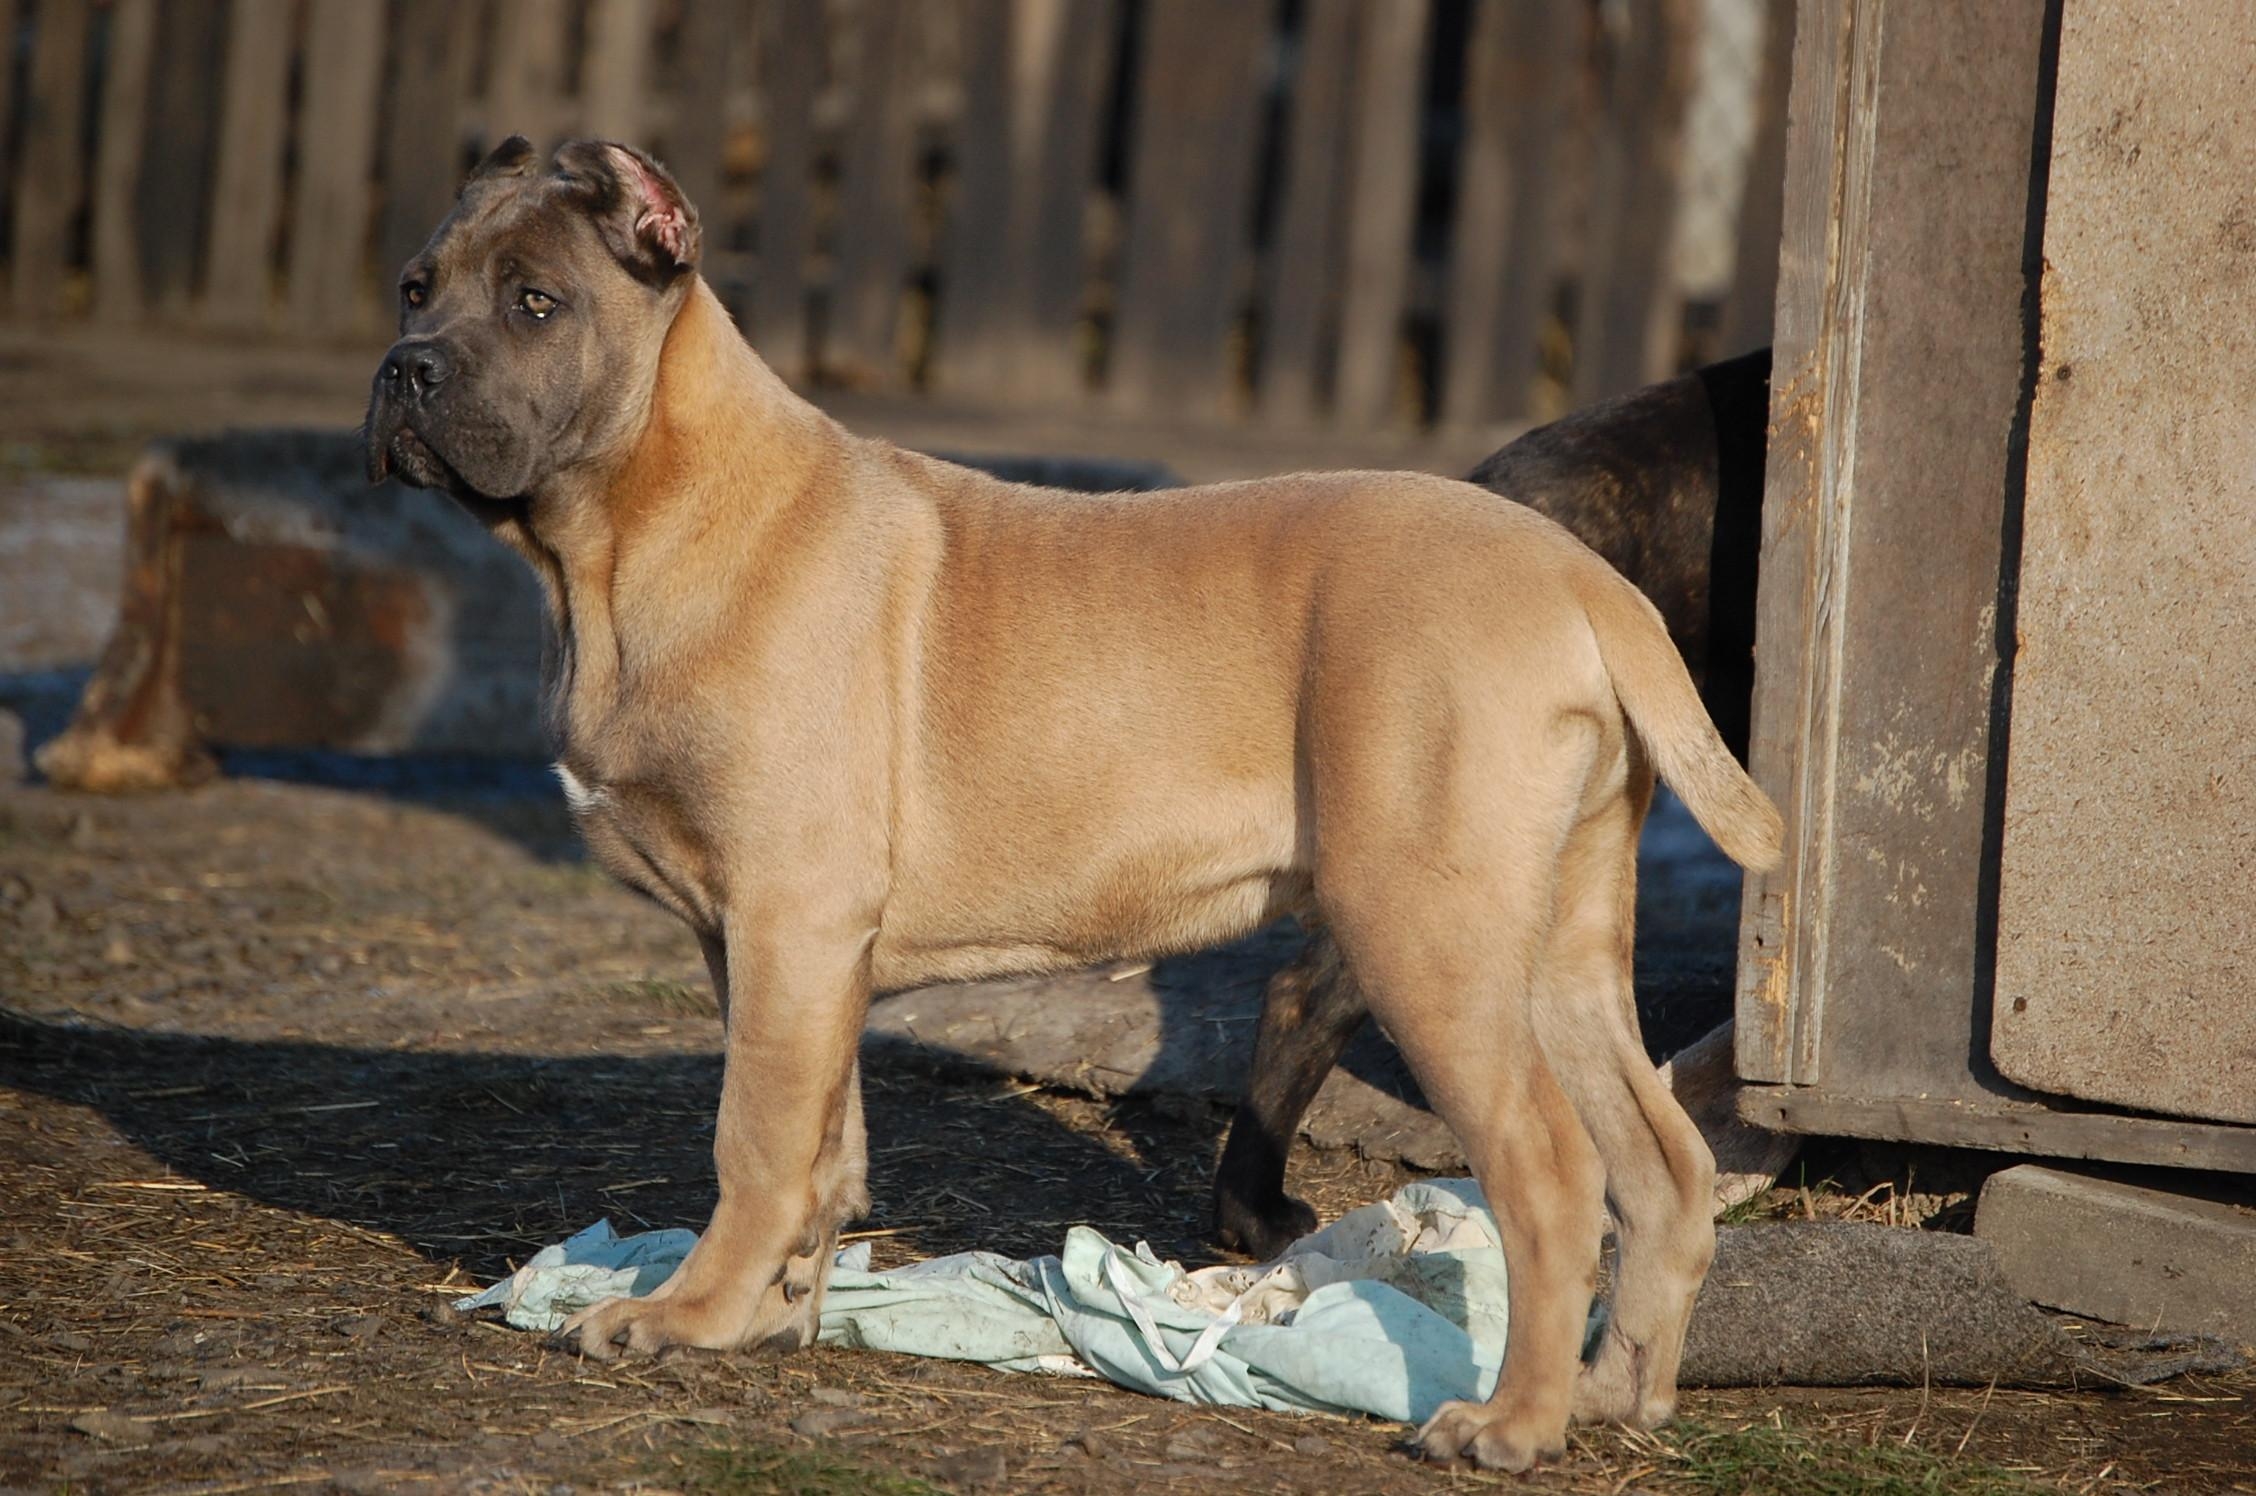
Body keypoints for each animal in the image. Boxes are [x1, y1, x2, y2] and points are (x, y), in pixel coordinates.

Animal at [365, 140, 1777, 1471]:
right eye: (417, 288)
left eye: (537, 301)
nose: (405, 372)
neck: (635, 521)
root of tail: (1583, 579)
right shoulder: (792, 948)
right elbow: (826, 1140)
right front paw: (776, 1311)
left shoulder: (786, 919)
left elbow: (753, 1139)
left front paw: (687, 1314)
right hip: (1559, 936)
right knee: (1663, 1163)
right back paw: (1614, 1394)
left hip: (1430, 933)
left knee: (1551, 1171)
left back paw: (1512, 1421)